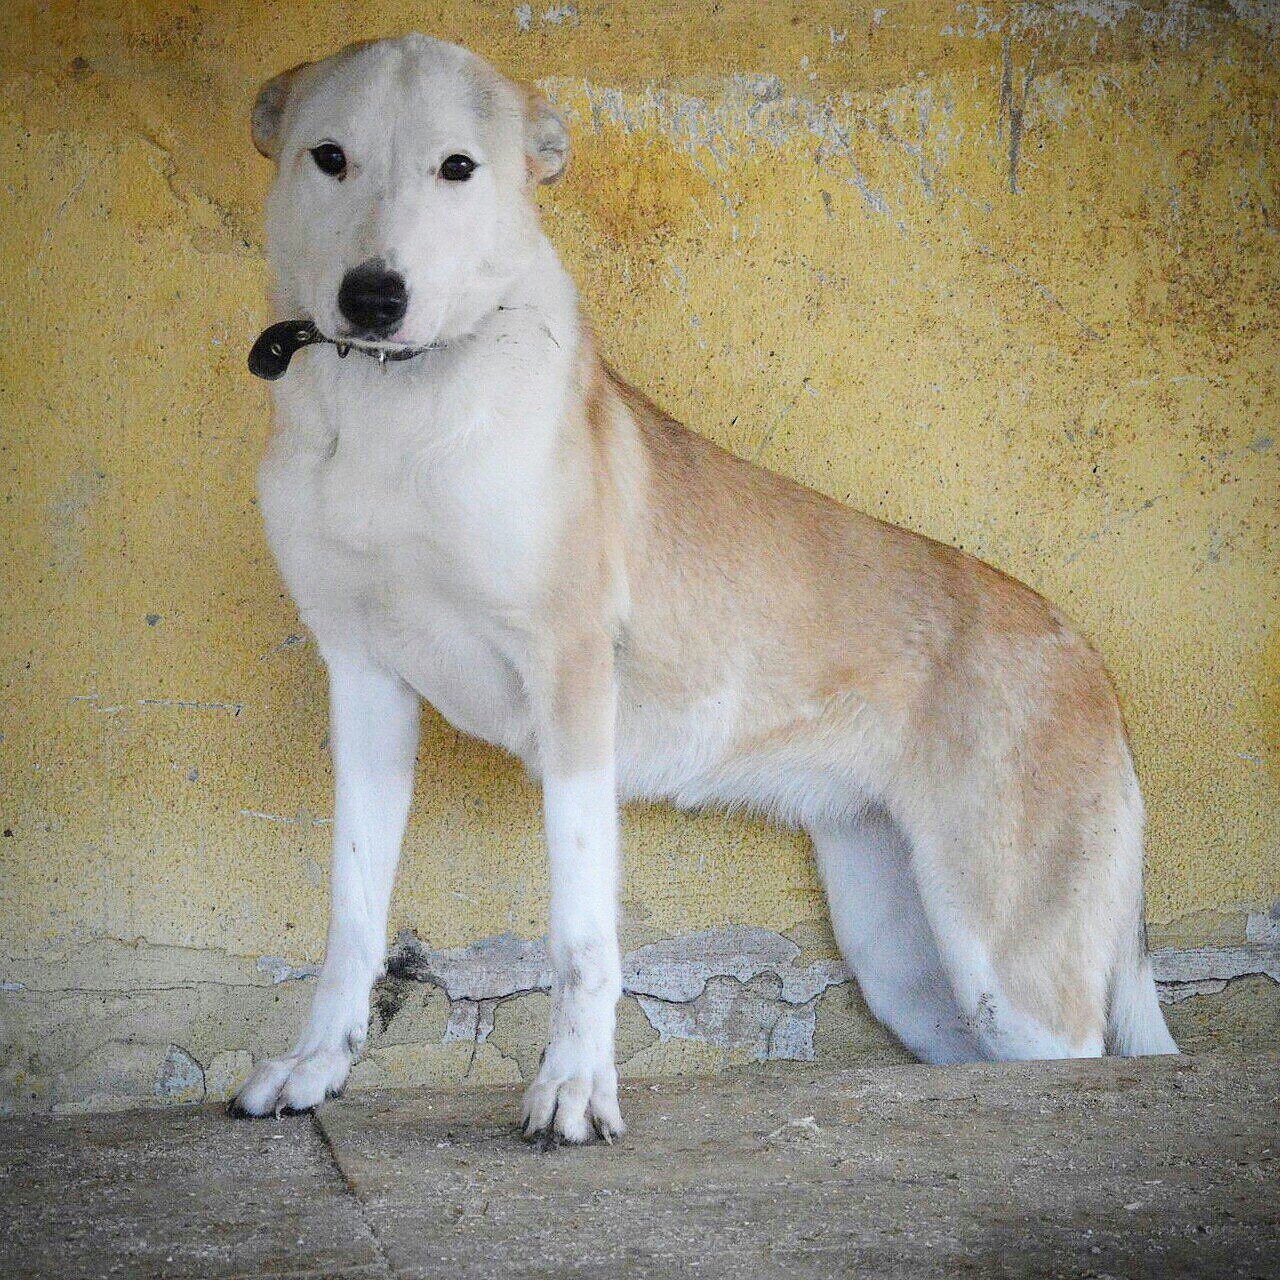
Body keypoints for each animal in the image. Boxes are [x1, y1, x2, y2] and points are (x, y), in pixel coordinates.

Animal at [232, 37, 1177, 1141]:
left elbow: (581, 935)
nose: (372, 299)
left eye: (458, 168)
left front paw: (574, 1087)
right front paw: (314, 1067)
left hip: (1009, 961)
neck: (393, 405)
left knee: (1080, 1059)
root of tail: (1085, 654)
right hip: (906, 961)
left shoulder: (572, 683)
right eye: (328, 157)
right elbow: (351, 912)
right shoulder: (364, 678)